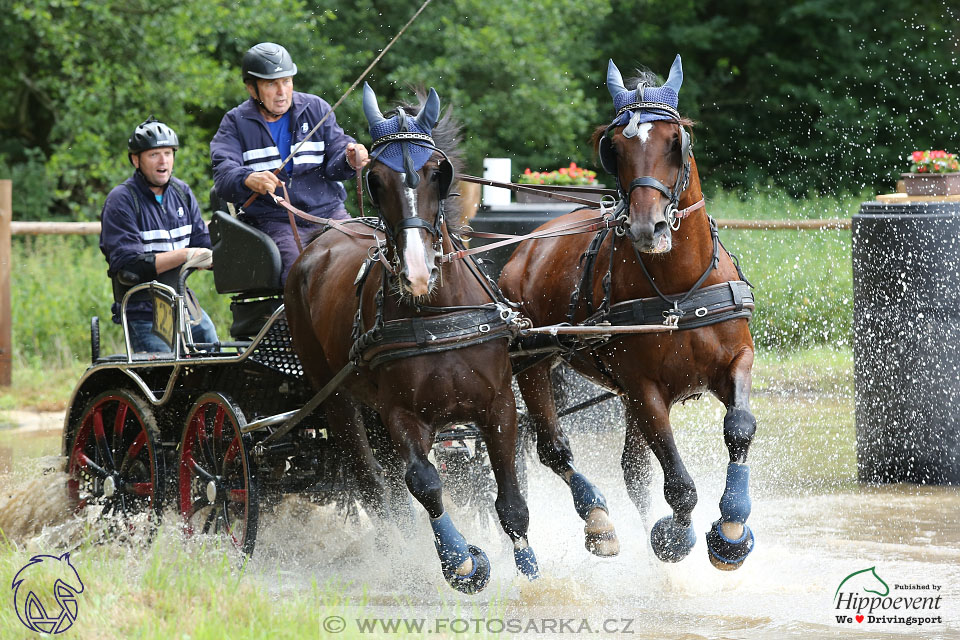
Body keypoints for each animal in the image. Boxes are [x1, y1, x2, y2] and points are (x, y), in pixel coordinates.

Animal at [284, 84, 540, 592]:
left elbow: (510, 500)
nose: (418, 272)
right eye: (376, 179)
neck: (438, 312)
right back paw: (394, 555)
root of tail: (318, 245)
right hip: (337, 398)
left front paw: (531, 574)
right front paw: (460, 560)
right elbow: (424, 483)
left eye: (436, 173)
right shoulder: (401, 414)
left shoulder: (498, 405)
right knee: (372, 482)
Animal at [502, 56, 756, 568]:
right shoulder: (643, 391)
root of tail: (525, 248)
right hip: (533, 363)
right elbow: (678, 486)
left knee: (633, 471)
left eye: (676, 142)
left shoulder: (735, 362)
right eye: (614, 148)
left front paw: (732, 530)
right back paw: (599, 523)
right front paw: (674, 536)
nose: (647, 227)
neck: (677, 290)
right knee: (555, 450)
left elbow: (739, 428)